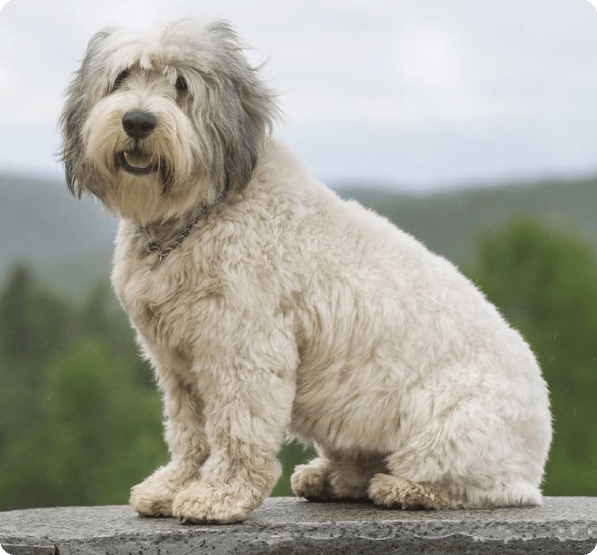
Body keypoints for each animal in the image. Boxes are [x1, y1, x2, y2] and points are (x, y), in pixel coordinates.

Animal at [58, 19, 552, 524]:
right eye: (121, 78)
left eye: (181, 85)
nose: (137, 121)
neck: (199, 214)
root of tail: (538, 448)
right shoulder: (177, 364)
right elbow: (189, 433)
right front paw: (174, 485)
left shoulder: (244, 350)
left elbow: (237, 430)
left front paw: (218, 495)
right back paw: (329, 478)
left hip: (448, 420)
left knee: (480, 488)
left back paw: (405, 488)